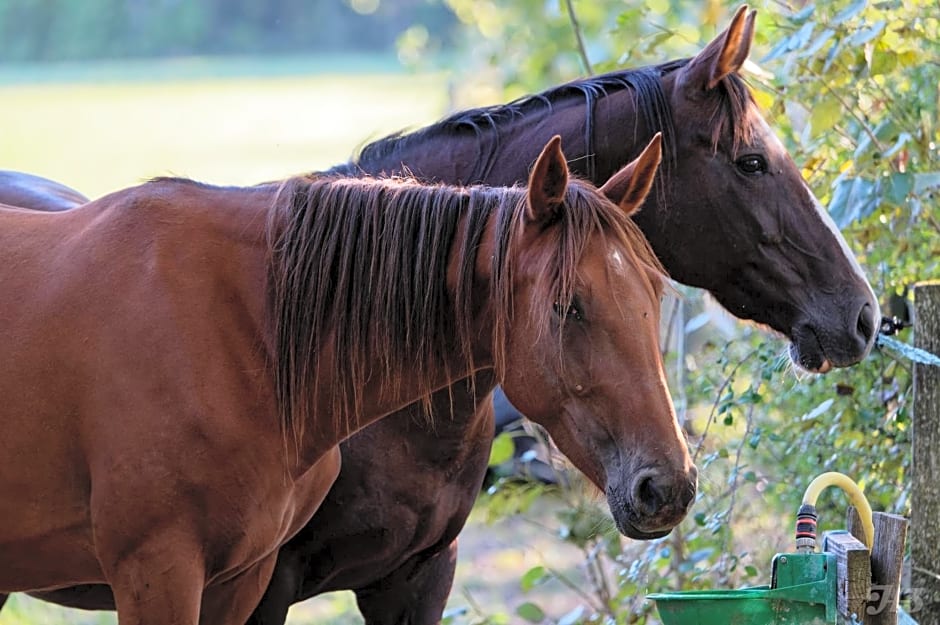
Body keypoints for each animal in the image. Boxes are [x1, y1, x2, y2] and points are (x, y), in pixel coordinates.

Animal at [0, 138, 692, 624]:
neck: (243, 330)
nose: (668, 486)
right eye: (567, 306)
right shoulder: (159, 573)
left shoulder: (243, 580)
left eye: (655, 295)